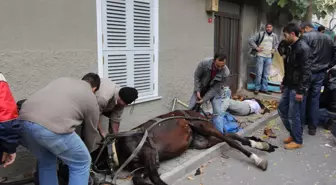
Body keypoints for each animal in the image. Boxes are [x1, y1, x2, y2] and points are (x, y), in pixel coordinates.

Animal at [88, 109, 276, 185]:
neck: (114, 149)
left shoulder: (149, 154)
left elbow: (154, 178)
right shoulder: (145, 166)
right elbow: (138, 178)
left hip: (203, 127)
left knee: (230, 141)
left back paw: (258, 158)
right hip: (202, 141)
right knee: (231, 137)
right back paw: (262, 144)